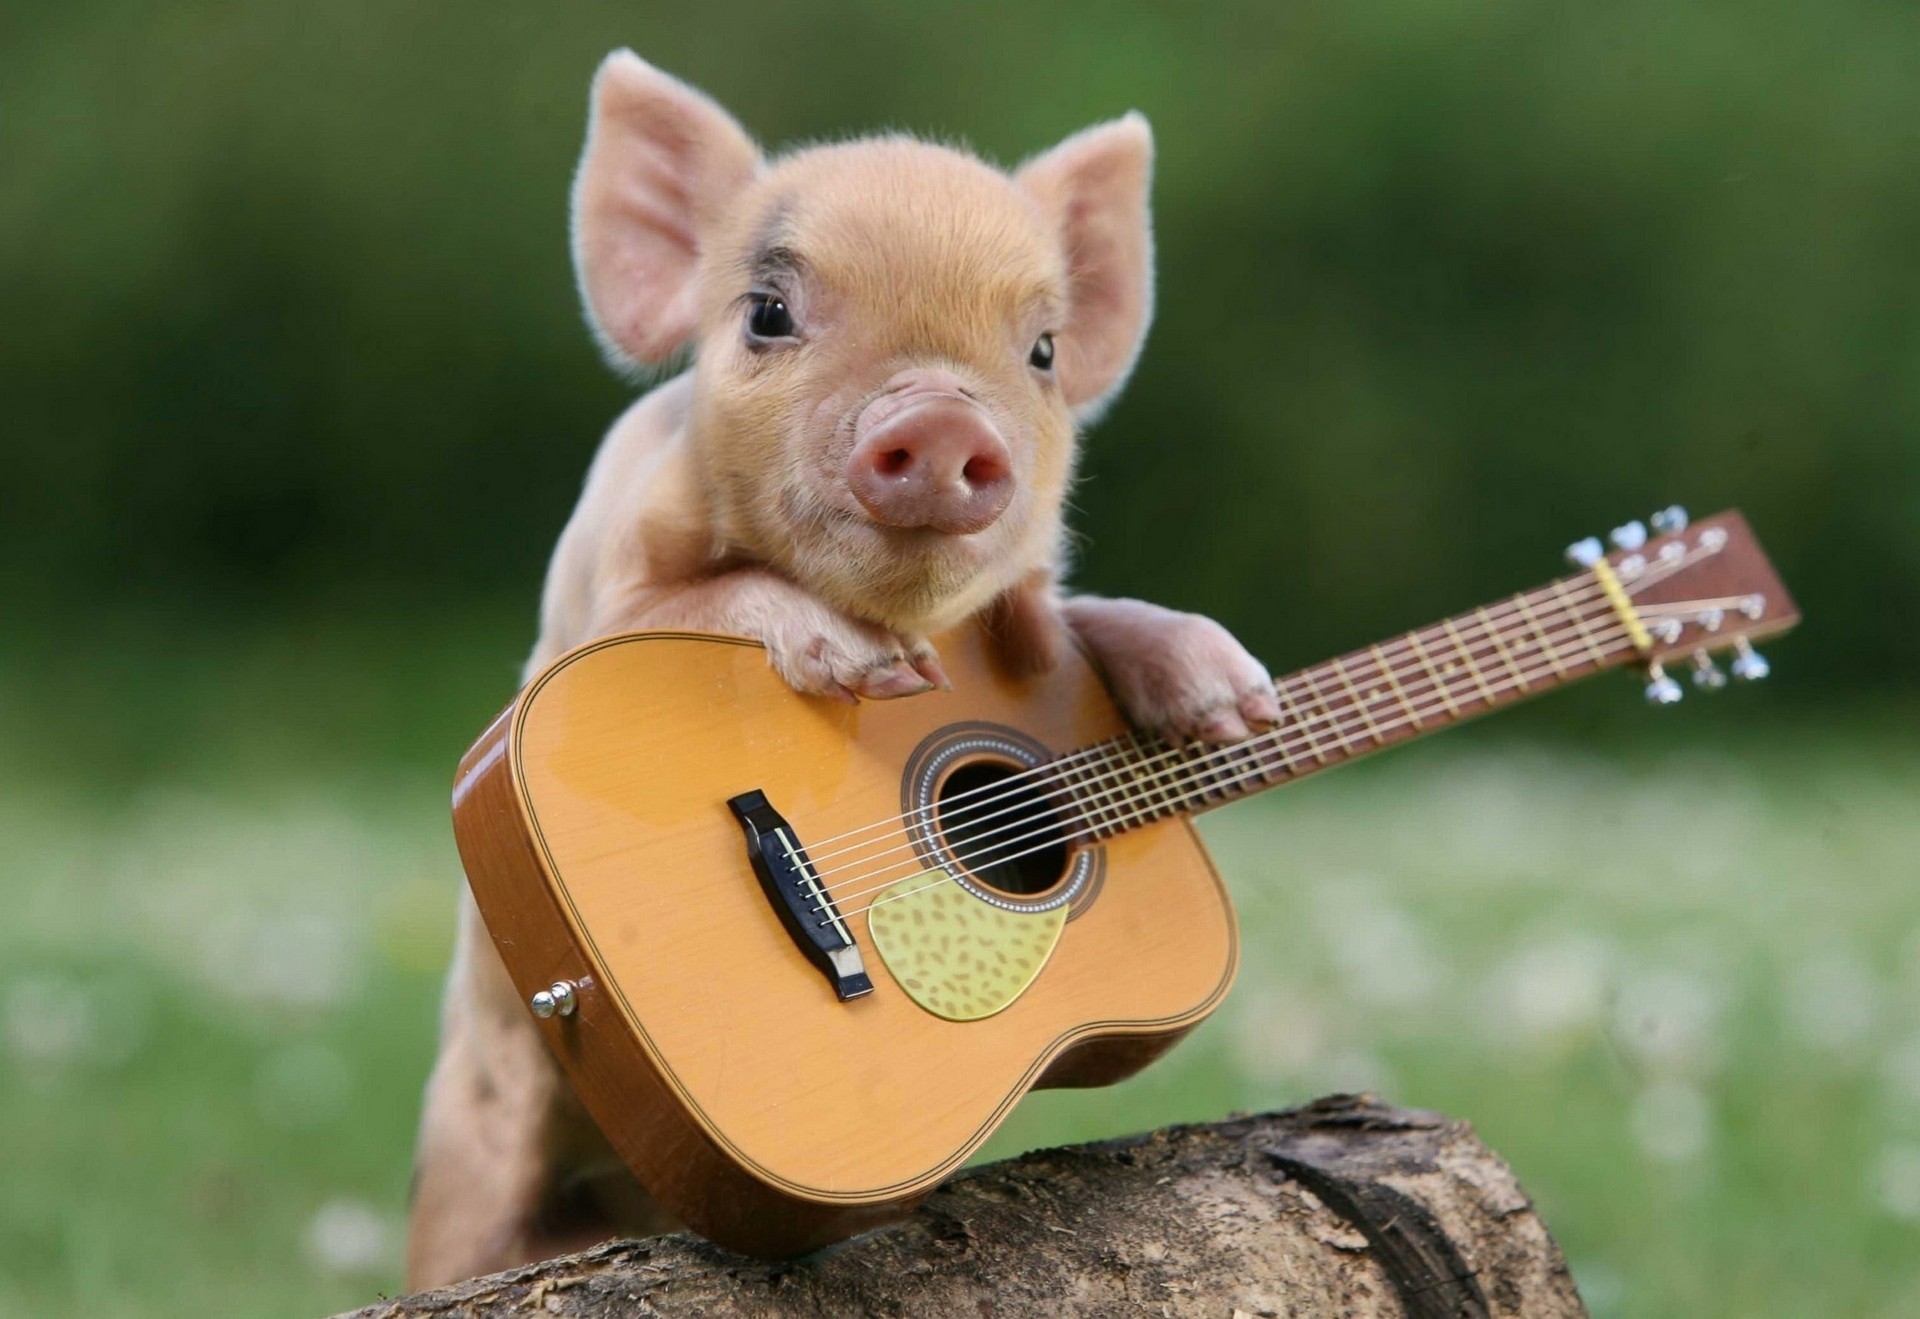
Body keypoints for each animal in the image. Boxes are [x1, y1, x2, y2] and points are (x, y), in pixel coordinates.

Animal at [405, 49, 1280, 1289]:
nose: (945, 416)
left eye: (1044, 351)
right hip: (469, 1171)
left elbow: (1071, 616)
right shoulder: (590, 607)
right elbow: (709, 600)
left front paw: (1233, 695)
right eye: (769, 312)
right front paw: (869, 665)